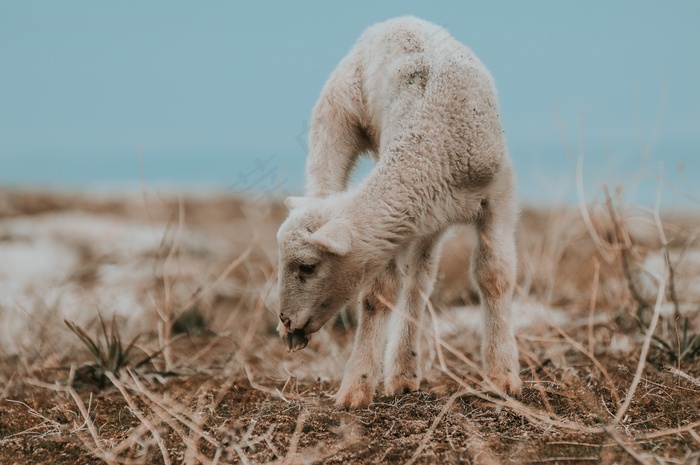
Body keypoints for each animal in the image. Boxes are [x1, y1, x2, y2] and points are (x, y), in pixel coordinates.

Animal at [276, 15, 524, 406]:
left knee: (420, 280)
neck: (435, 150)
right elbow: (378, 294)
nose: (286, 320)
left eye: (308, 267)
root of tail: (398, 20)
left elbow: (494, 276)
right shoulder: (395, 222)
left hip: (427, 218)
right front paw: (357, 384)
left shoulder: (499, 194)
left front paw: (503, 375)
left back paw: (405, 371)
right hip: (336, 115)